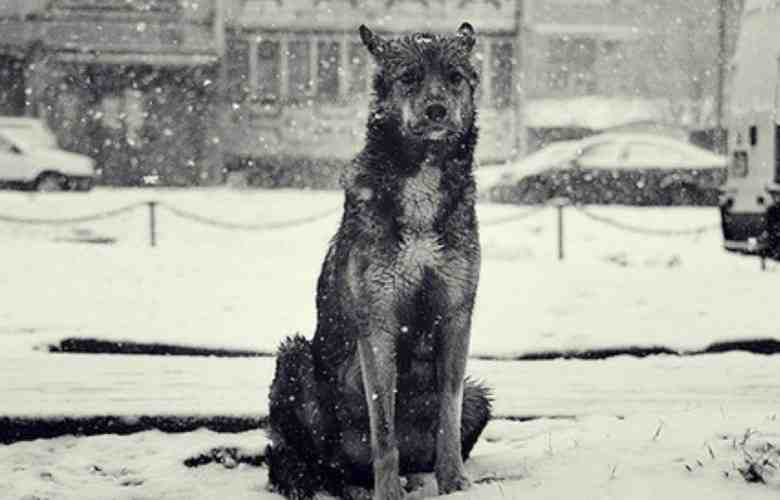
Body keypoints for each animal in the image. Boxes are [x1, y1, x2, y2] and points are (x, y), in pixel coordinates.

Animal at [266, 23, 490, 500]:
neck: (423, 176)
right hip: (295, 358)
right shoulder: (379, 320)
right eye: (409, 77)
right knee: (300, 457)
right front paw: (388, 492)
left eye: (455, 77)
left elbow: (447, 414)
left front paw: (454, 482)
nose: (437, 110)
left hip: (480, 394)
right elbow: (383, 427)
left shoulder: (456, 315)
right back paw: (321, 481)